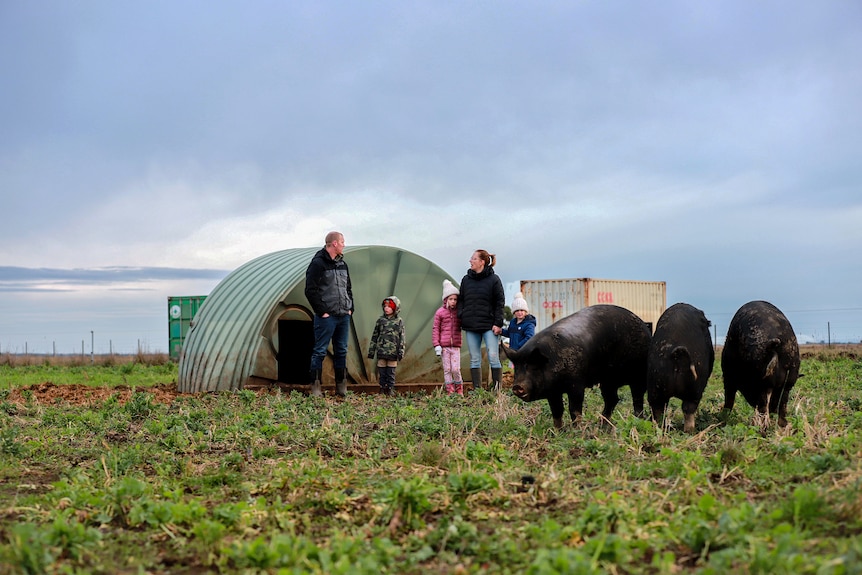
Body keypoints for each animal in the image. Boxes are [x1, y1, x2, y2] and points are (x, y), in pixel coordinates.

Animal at [502, 304, 652, 430]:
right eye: (517, 368)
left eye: (533, 367)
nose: (517, 386)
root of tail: (644, 326)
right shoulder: (553, 392)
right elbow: (557, 411)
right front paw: (558, 431)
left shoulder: (576, 384)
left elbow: (574, 409)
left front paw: (576, 430)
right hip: (608, 381)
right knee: (612, 399)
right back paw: (602, 426)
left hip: (639, 374)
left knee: (637, 398)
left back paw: (638, 420)